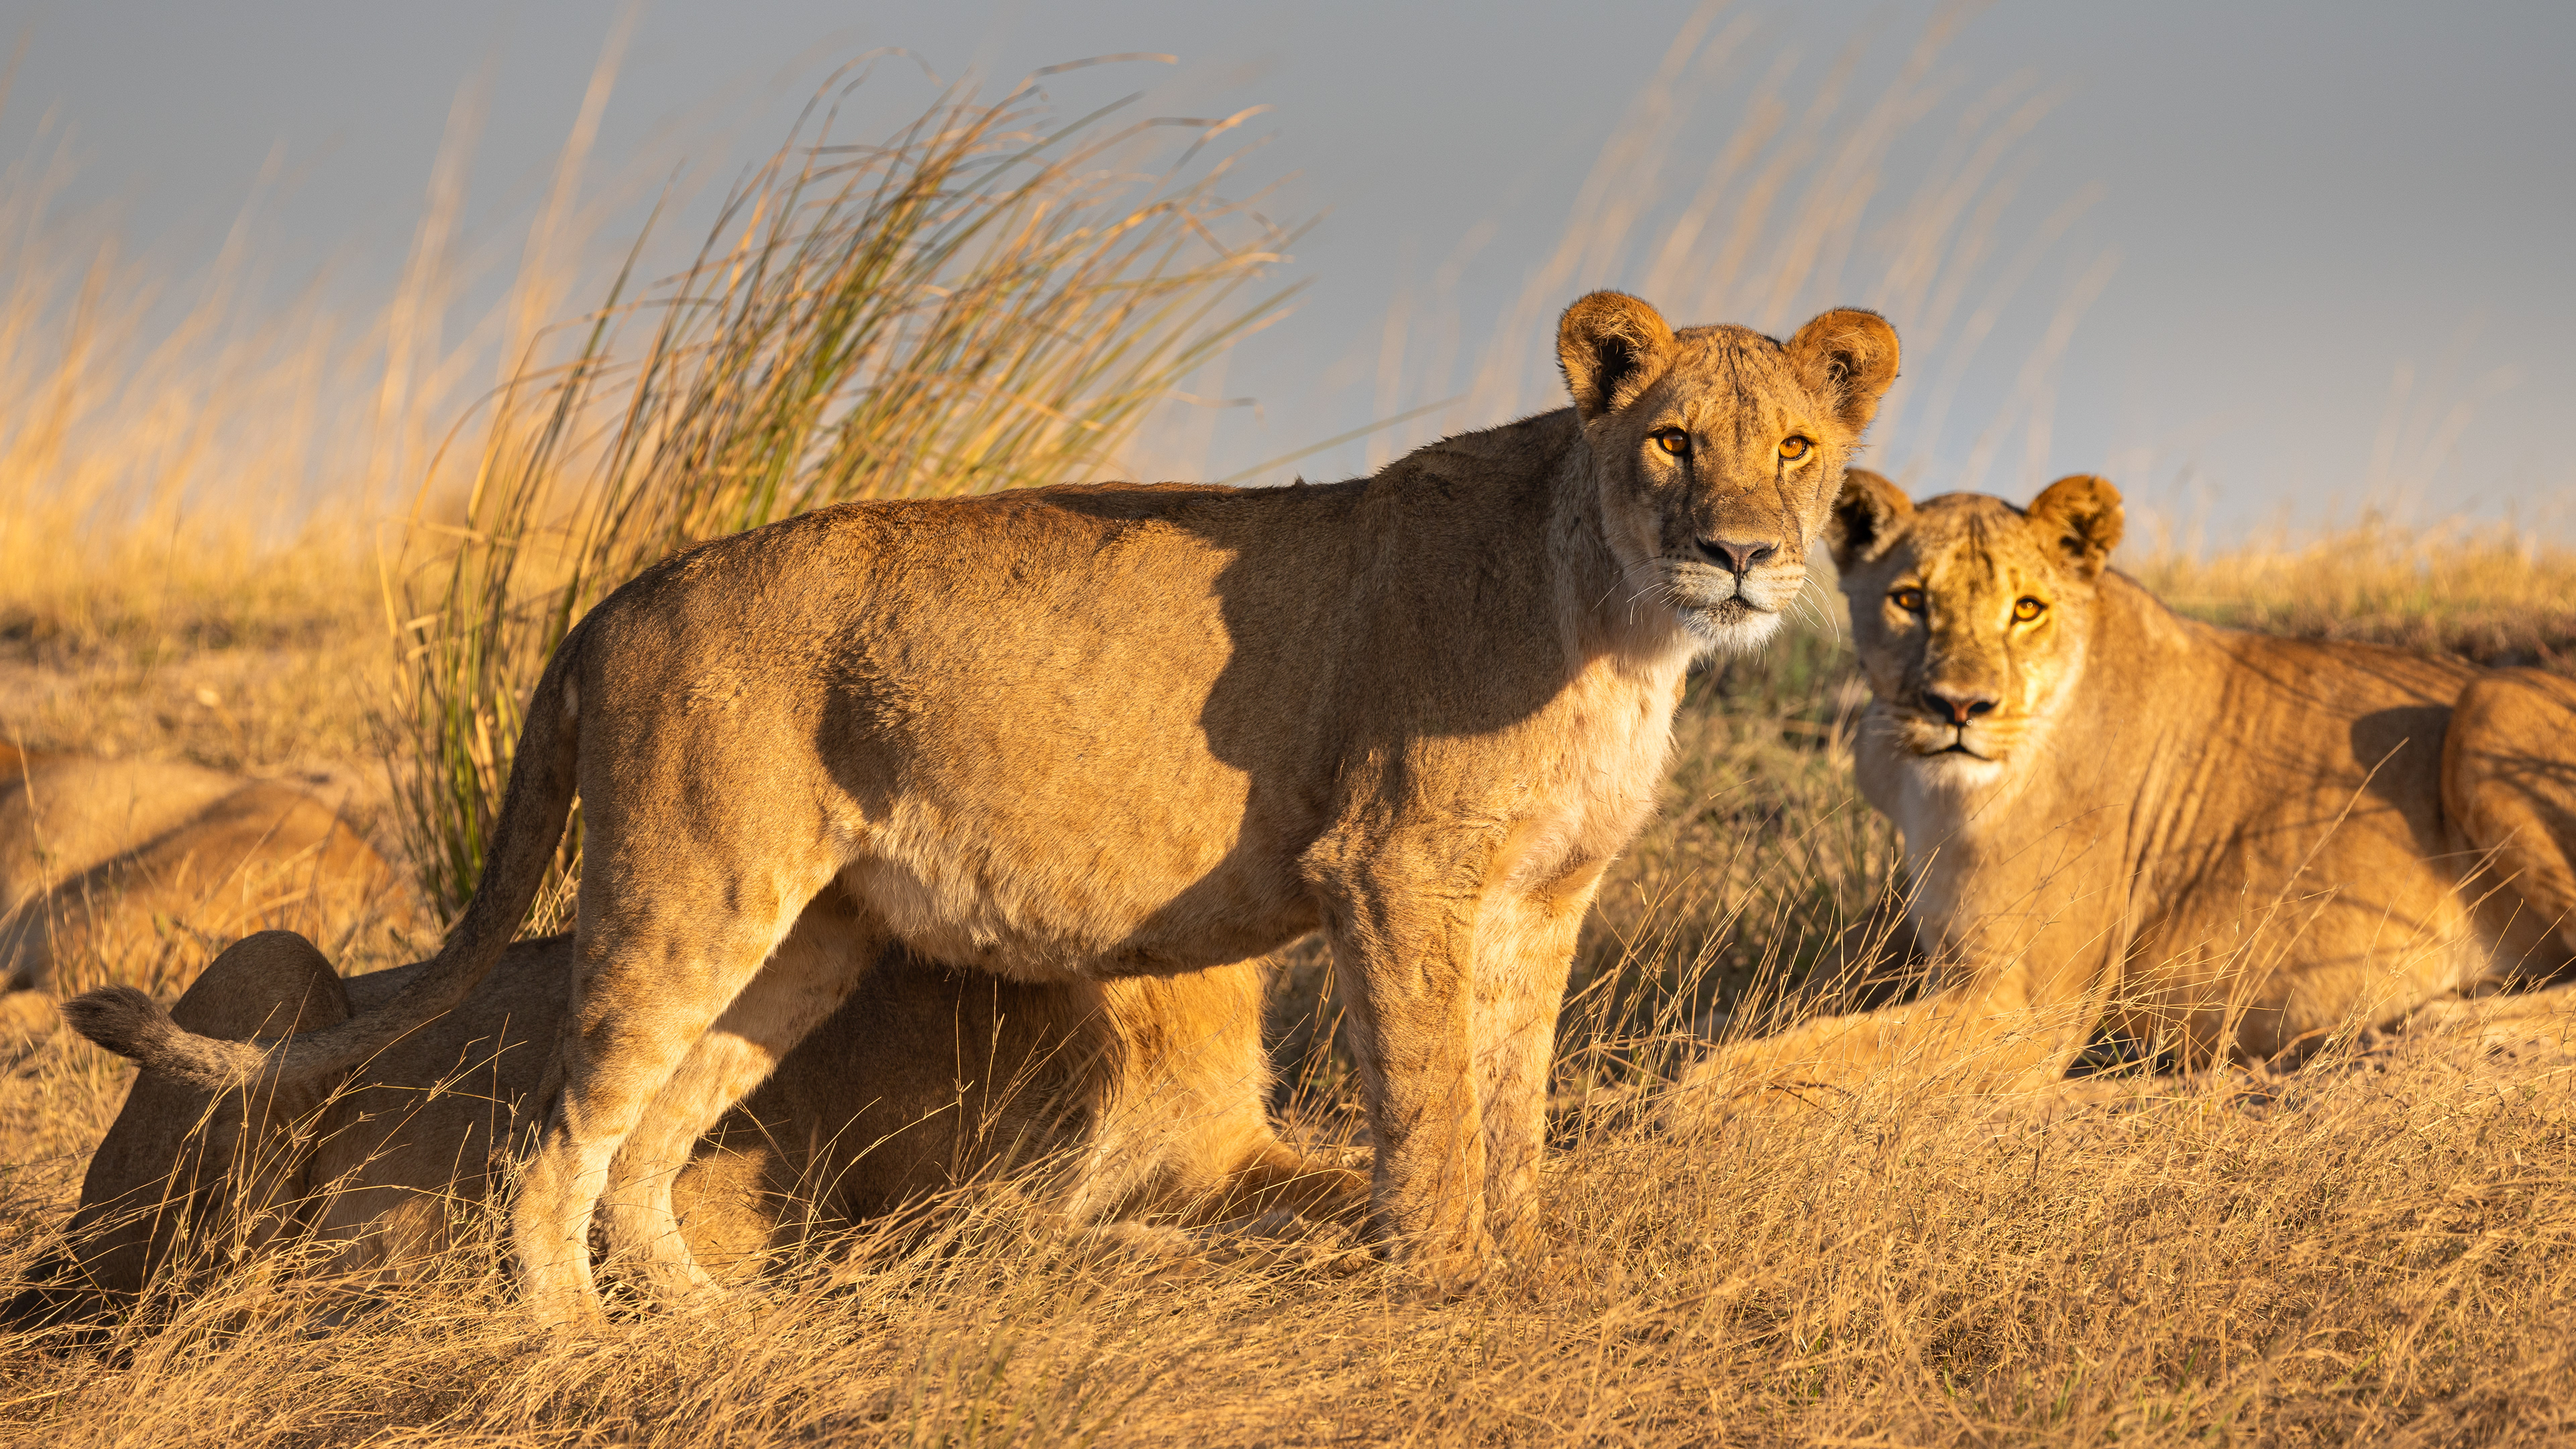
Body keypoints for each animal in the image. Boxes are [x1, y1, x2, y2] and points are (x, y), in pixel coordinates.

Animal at [9, 919, 1363, 1329]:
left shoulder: (1231, 1152)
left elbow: (1345, 1181)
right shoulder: (933, 1234)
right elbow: (1144, 1252)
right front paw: (1293, 1259)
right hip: (277, 963)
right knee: (205, 1290)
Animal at [1672, 470, 2576, 1108]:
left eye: (2026, 609)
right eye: (1908, 601)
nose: (1958, 707)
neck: (1929, 786)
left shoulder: (2023, 1009)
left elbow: (1786, 1058)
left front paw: (1678, 1105)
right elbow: (1756, 1021)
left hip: (2490, 703)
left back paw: (2452, 1018)